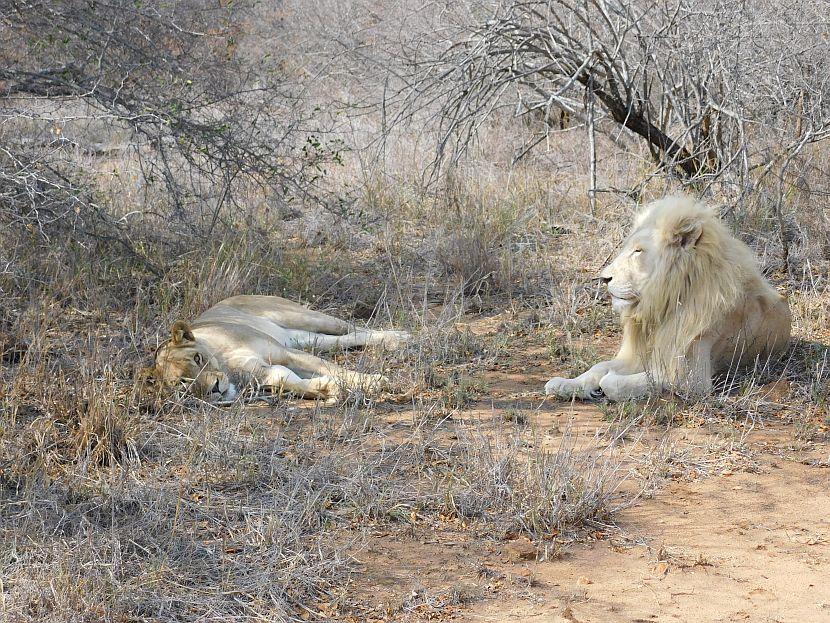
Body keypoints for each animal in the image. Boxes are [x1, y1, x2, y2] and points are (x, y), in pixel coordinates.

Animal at [146, 298, 412, 404]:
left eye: (198, 358)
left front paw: (373, 382)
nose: (215, 388)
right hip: (300, 339)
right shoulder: (266, 373)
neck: (225, 365)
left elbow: (336, 369)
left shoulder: (284, 354)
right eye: (182, 384)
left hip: (301, 317)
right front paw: (328, 389)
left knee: (353, 328)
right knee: (342, 340)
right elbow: (289, 380)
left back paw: (400, 338)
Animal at [544, 195, 792, 402]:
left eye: (638, 251)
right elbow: (599, 367)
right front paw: (565, 384)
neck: (664, 306)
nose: (604, 278)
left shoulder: (691, 377)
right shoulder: (641, 352)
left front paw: (603, 387)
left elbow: (613, 382)